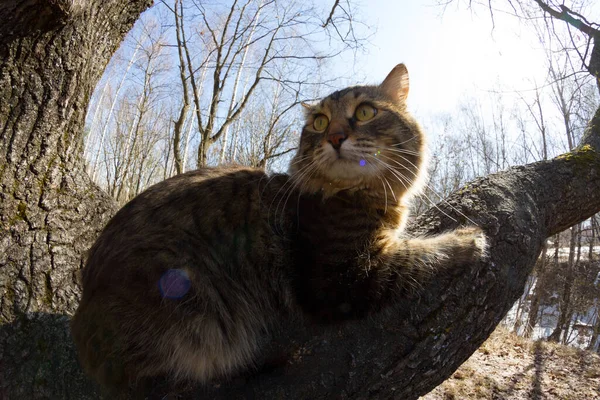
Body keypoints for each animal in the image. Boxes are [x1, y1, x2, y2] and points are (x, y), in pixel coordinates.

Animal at [70, 64, 488, 396]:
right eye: (319, 122)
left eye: (365, 112)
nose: (335, 137)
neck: (358, 195)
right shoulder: (344, 278)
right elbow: (419, 254)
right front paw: (468, 239)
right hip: (193, 301)